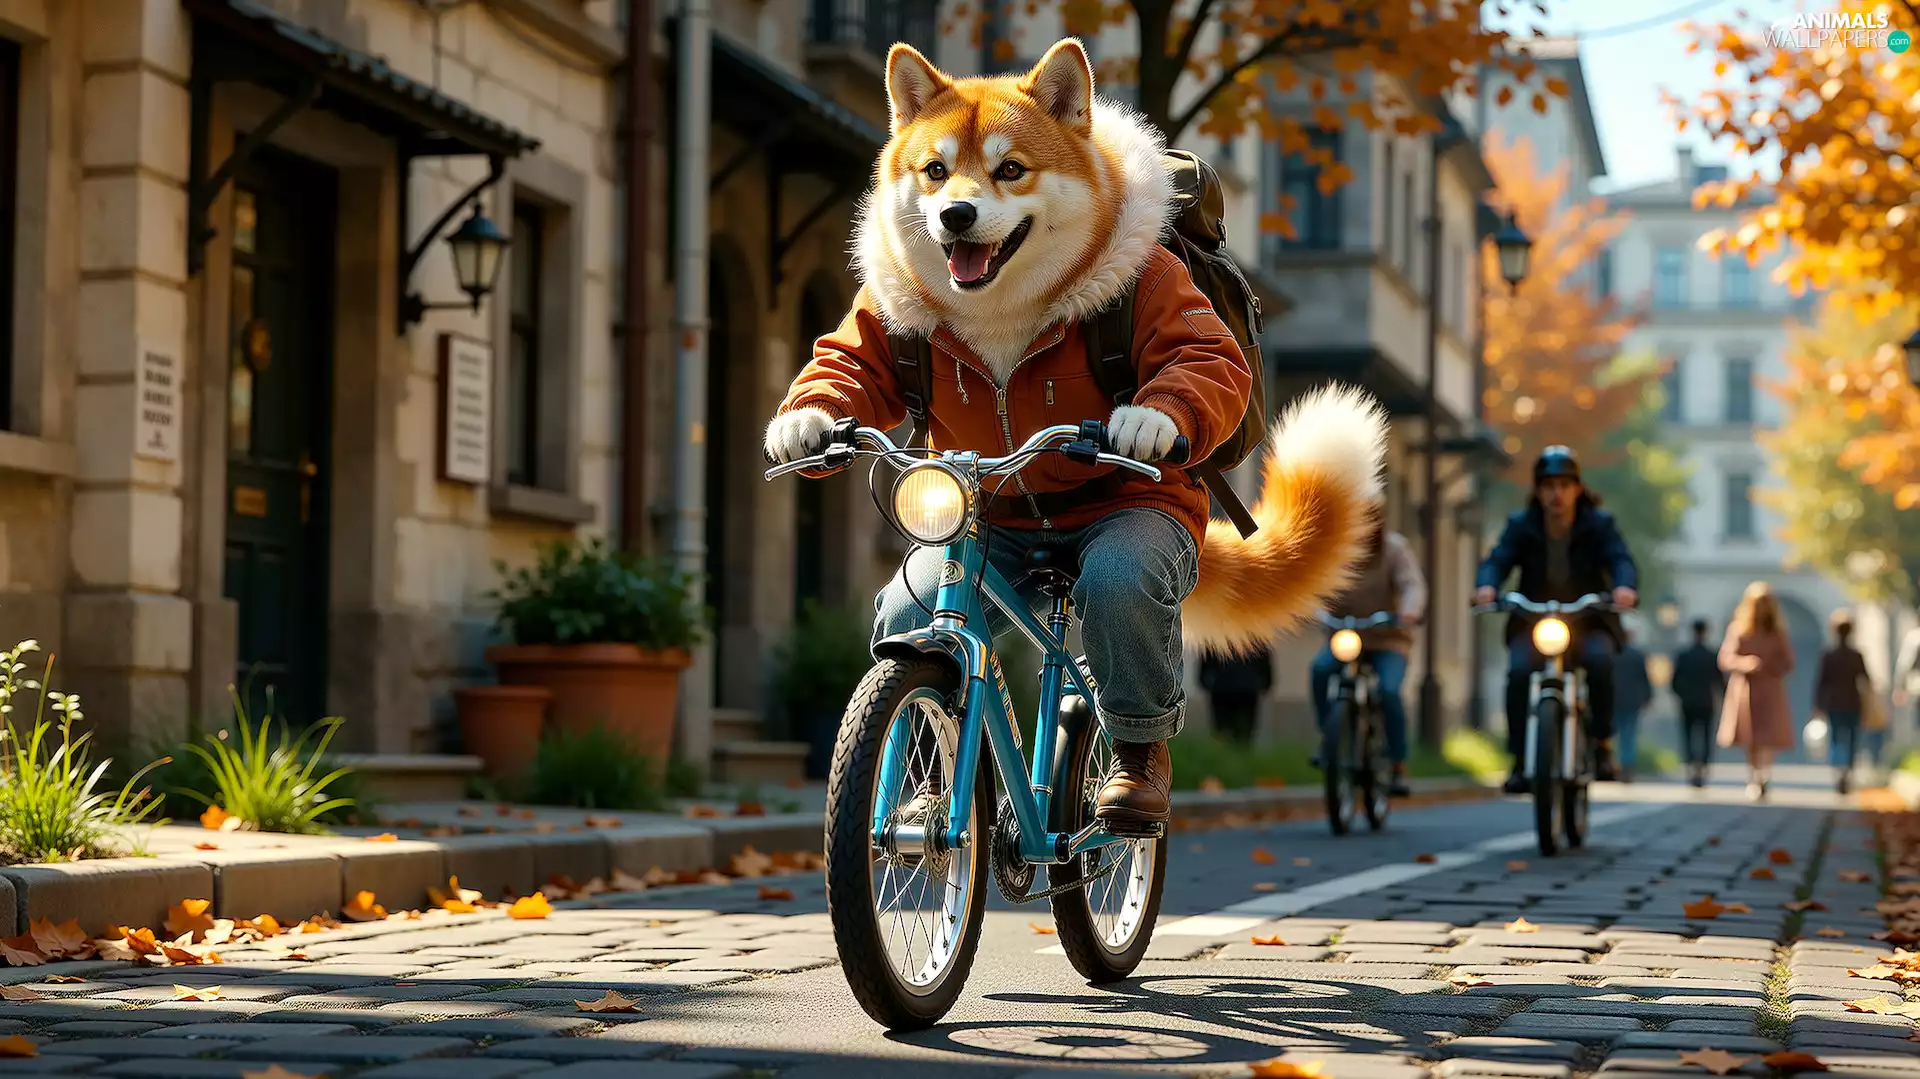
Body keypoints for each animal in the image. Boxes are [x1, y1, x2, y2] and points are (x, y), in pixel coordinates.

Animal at [768, 37, 1389, 662]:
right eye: (936, 171)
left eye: (1010, 169)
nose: (955, 214)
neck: (1001, 314)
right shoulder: (882, 305)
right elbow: (848, 358)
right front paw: (804, 422)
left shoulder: (1158, 283)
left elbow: (1203, 357)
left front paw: (1149, 422)